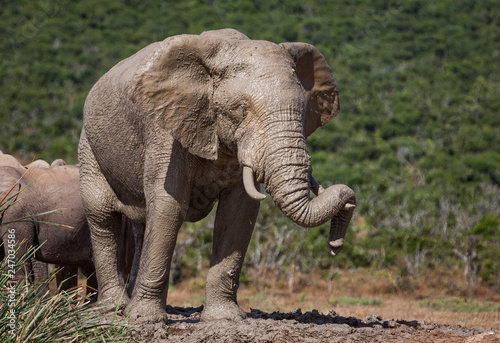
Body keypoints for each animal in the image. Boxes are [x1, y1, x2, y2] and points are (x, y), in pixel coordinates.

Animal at [79, 28, 356, 324]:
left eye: (304, 111)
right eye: (241, 109)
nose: (335, 246)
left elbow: (238, 213)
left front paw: (225, 318)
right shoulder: (166, 126)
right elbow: (169, 205)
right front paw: (144, 320)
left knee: (140, 225)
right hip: (89, 146)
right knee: (102, 216)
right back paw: (111, 310)